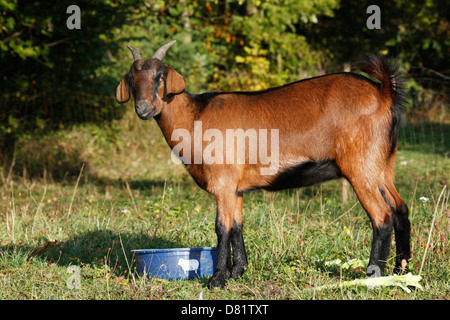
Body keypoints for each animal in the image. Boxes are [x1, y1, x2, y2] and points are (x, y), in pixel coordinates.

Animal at [117, 41, 412, 288]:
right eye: (132, 79)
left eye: (160, 77)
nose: (143, 109)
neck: (195, 117)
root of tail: (384, 93)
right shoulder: (235, 188)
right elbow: (237, 226)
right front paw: (238, 272)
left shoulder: (223, 183)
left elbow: (221, 228)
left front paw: (217, 280)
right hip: (382, 166)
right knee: (401, 209)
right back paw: (402, 271)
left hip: (360, 166)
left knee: (382, 216)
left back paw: (373, 274)